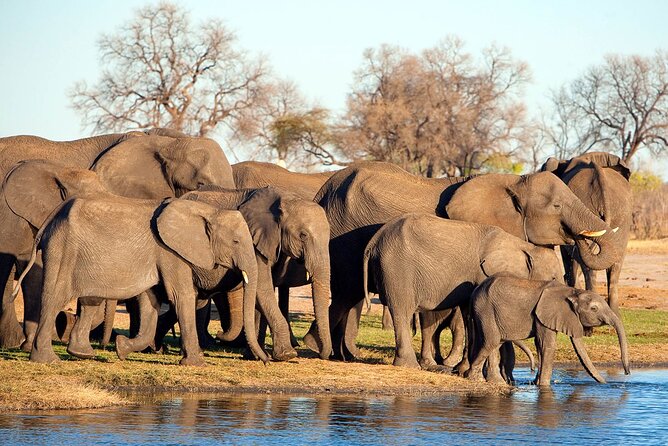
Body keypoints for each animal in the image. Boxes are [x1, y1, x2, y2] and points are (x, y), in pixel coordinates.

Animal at [11, 194, 266, 365]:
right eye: (235, 242)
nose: (264, 361)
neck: (208, 210)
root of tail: (50, 219)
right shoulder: (170, 252)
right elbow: (181, 296)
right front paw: (196, 364)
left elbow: (150, 302)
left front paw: (121, 349)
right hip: (63, 249)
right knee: (55, 298)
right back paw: (47, 360)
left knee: (87, 300)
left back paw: (83, 354)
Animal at [154, 185, 332, 360]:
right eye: (303, 235)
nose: (320, 353)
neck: (285, 198)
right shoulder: (253, 242)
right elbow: (262, 288)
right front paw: (287, 355)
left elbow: (261, 294)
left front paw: (255, 356)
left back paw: (159, 346)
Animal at [362, 213, 562, 372]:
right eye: (553, 277)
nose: (532, 370)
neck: (525, 248)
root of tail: (373, 241)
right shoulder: (483, 273)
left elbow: (469, 314)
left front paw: (463, 369)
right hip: (396, 268)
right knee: (402, 311)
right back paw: (410, 366)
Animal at [467, 275, 630, 386]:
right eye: (594, 309)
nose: (627, 372)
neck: (572, 291)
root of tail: (476, 290)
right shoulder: (545, 313)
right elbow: (547, 345)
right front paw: (544, 386)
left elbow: (540, 345)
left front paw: (536, 383)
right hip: (485, 308)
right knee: (491, 341)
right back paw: (475, 379)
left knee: (494, 342)